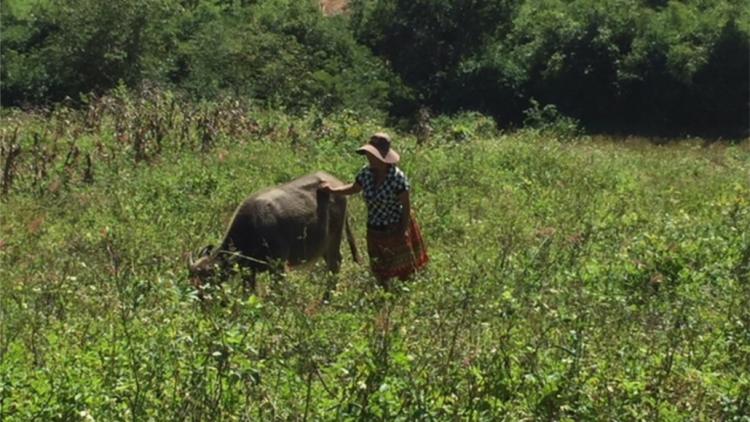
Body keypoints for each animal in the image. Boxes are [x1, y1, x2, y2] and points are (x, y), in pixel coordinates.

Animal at [189, 170, 362, 296]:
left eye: (210, 279)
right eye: (191, 279)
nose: (199, 298)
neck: (252, 231)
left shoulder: (278, 266)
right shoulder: (248, 272)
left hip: (335, 236)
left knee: (335, 263)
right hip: (323, 243)